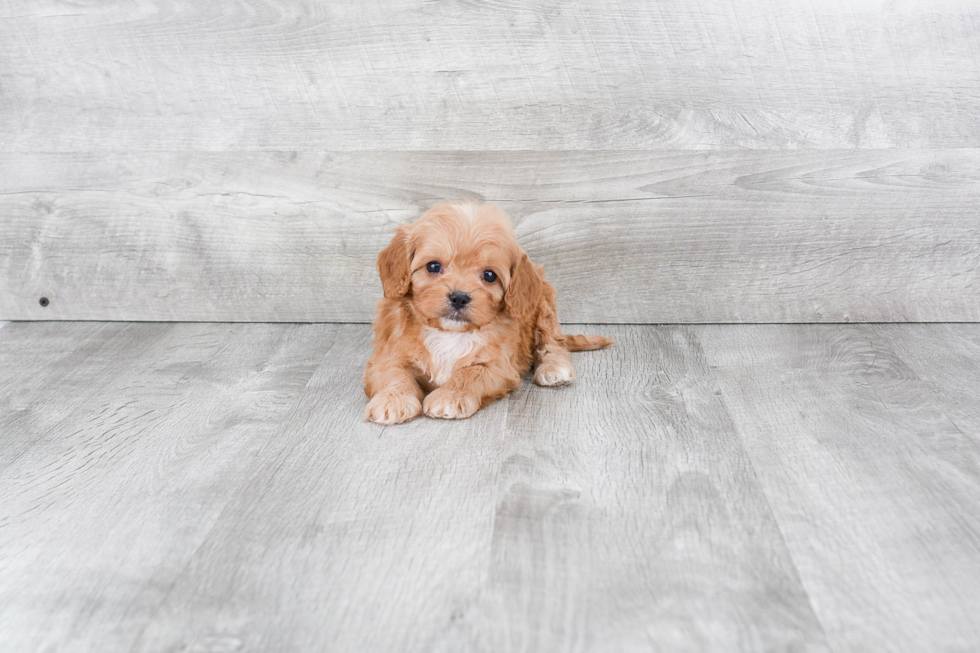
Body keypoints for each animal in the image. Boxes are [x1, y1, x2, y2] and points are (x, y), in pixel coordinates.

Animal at [364, 201, 612, 426]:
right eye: (433, 266)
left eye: (490, 275)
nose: (459, 297)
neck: (449, 333)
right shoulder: (387, 354)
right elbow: (394, 373)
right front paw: (392, 400)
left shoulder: (499, 366)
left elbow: (470, 373)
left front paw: (450, 397)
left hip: (543, 306)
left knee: (552, 342)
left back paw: (554, 368)